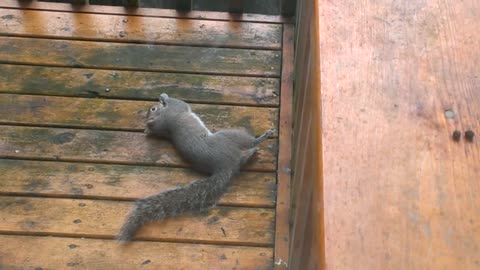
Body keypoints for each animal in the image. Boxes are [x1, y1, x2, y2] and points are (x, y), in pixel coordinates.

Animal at [116, 94, 276, 242]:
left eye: (152, 109)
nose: (155, 104)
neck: (162, 122)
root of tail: (225, 165)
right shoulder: (176, 109)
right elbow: (180, 103)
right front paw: (164, 96)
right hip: (232, 136)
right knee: (249, 142)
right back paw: (261, 138)